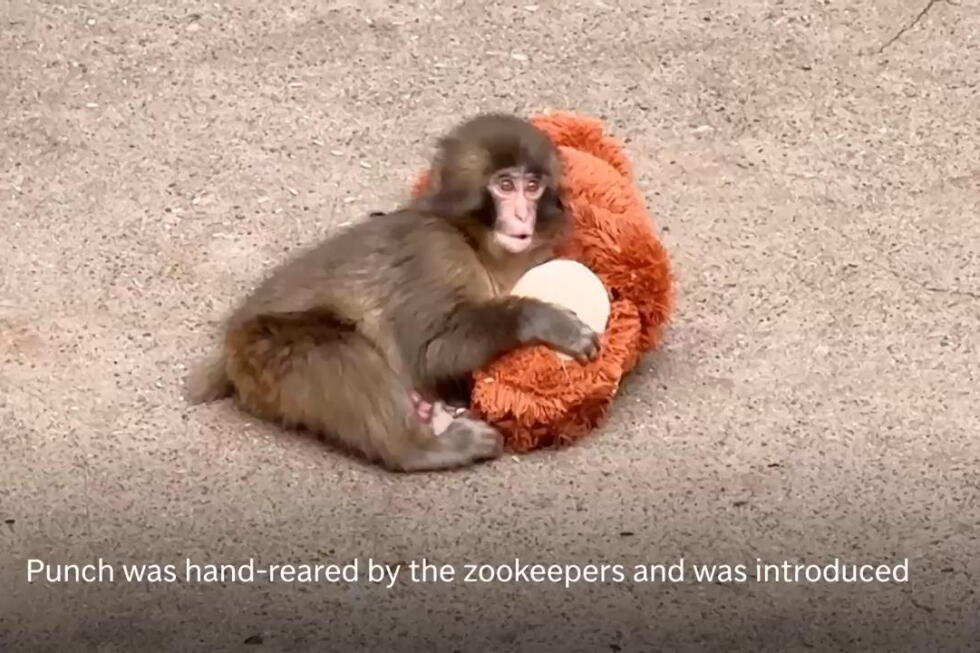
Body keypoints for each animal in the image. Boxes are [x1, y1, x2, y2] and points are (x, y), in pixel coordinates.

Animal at [184, 113, 600, 472]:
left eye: (532, 186)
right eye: (505, 185)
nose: (521, 216)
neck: (476, 242)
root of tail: (227, 353)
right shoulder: (434, 252)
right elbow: (431, 351)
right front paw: (543, 320)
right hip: (263, 354)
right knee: (339, 352)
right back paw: (423, 448)